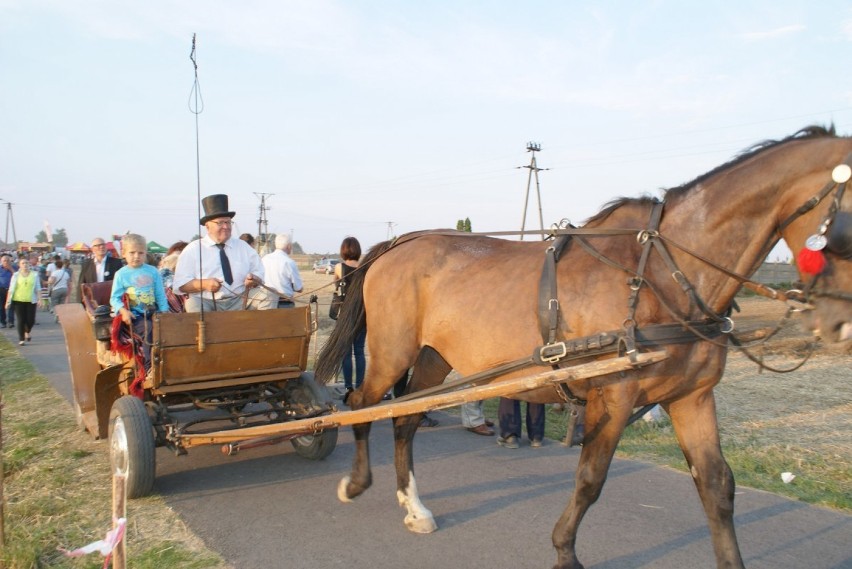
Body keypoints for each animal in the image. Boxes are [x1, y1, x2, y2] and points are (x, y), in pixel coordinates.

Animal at [316, 125, 852, 568]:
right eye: (843, 229)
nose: (841, 323)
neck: (664, 273)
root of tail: (397, 244)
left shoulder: (692, 398)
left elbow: (717, 486)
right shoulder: (613, 396)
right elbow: (591, 479)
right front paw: (564, 552)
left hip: (434, 358)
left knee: (403, 419)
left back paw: (414, 506)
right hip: (392, 352)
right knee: (362, 405)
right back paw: (356, 482)